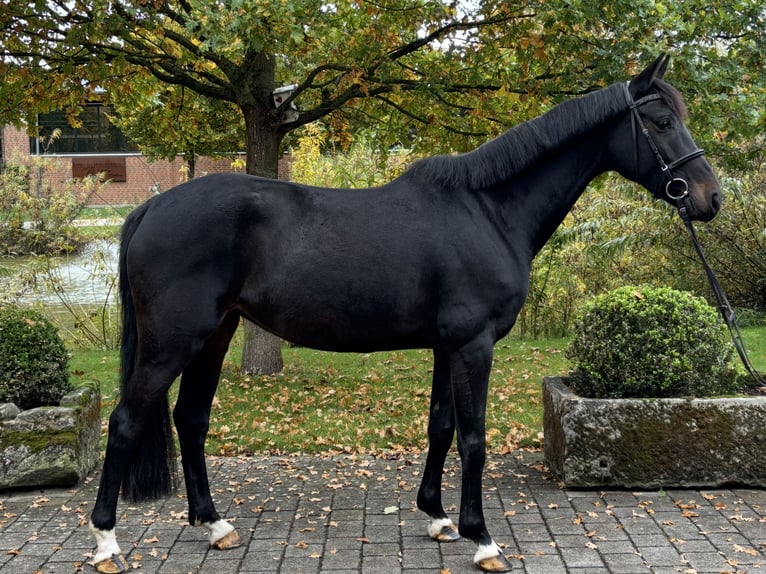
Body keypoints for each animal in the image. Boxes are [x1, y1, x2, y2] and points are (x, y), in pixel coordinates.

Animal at [89, 54, 721, 573]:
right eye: (660, 122)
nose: (710, 198)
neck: (488, 211)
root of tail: (149, 208)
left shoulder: (447, 345)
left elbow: (440, 427)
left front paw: (438, 517)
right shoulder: (473, 344)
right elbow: (473, 437)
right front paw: (483, 539)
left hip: (215, 336)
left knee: (191, 420)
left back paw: (215, 524)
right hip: (172, 343)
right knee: (124, 424)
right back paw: (106, 543)